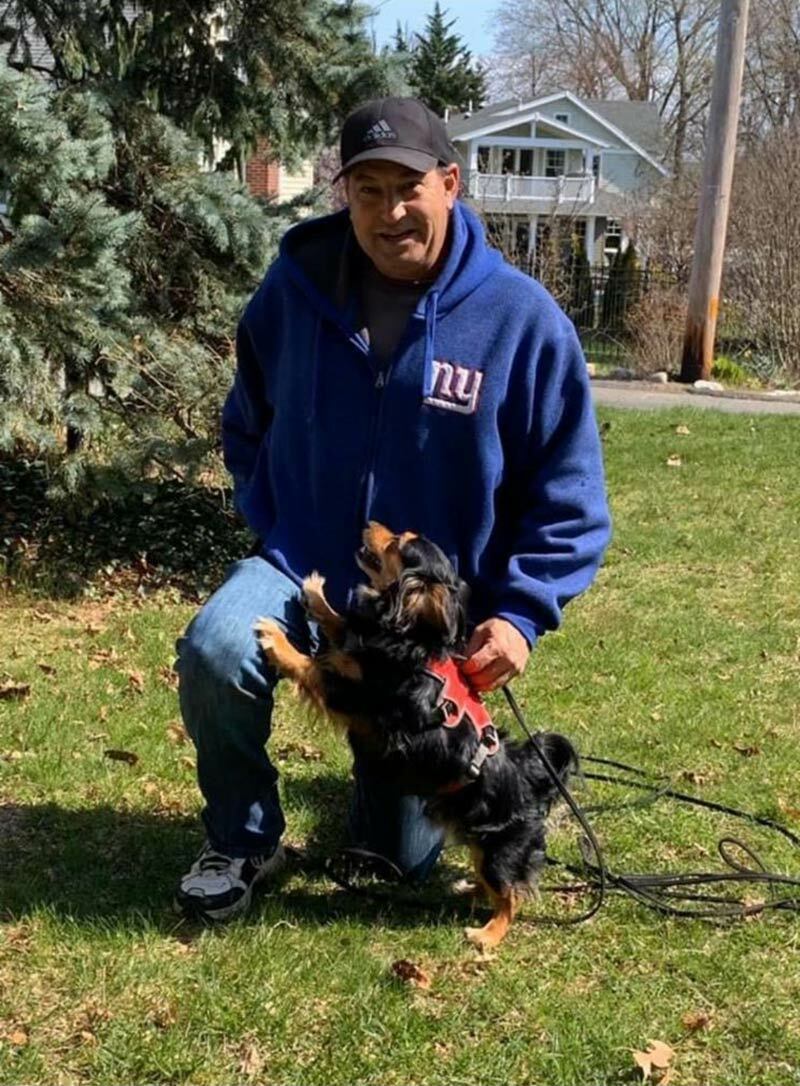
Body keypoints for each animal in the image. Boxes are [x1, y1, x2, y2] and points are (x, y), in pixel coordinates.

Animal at [259, 521, 577, 946]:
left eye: (400, 544)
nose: (370, 523)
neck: (409, 638)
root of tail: (534, 782)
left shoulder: (359, 697)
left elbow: (312, 666)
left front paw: (275, 640)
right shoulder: (360, 652)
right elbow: (342, 625)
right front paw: (315, 594)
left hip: (499, 850)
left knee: (511, 895)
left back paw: (487, 935)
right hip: (479, 843)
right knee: (492, 884)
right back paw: (470, 891)